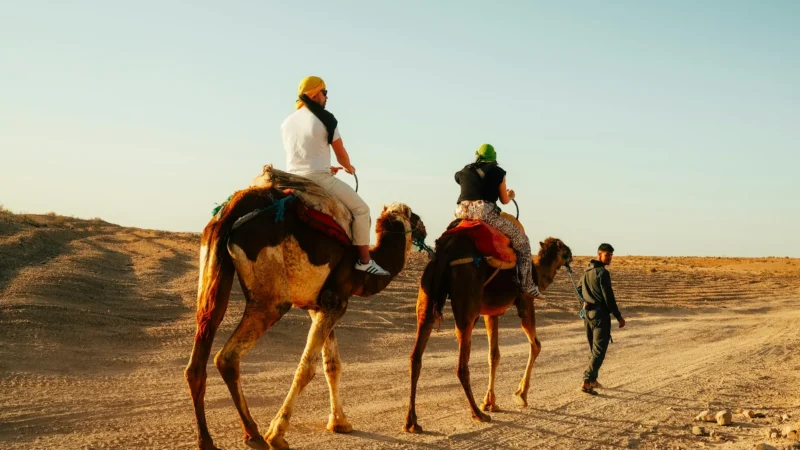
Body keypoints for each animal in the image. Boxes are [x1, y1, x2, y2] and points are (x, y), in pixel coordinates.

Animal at [184, 185, 427, 450]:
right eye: (414, 215)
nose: (424, 227)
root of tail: (229, 213)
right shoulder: (335, 302)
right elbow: (307, 369)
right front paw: (277, 434)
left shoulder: (321, 305)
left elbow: (332, 365)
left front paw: (339, 422)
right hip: (271, 299)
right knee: (227, 357)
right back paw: (255, 434)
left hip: (213, 272)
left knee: (200, 351)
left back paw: (208, 439)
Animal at [404, 231, 572, 433]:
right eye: (563, 248)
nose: (571, 254)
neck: (537, 273)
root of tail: (446, 251)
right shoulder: (525, 300)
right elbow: (536, 345)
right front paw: (520, 396)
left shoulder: (491, 313)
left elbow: (494, 355)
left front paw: (490, 402)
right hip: (467, 302)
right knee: (461, 366)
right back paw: (478, 414)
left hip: (428, 293)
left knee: (416, 356)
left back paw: (412, 422)